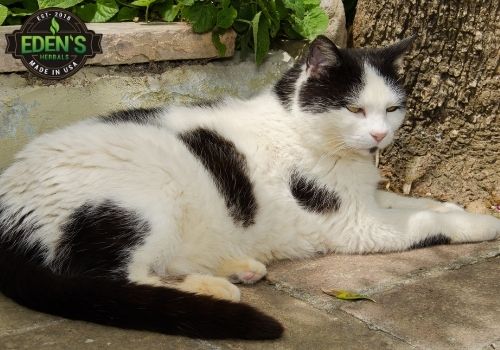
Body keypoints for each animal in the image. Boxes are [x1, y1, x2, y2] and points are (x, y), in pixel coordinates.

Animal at [0, 35, 500, 340]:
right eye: (354, 109)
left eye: (393, 109)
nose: (379, 136)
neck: (301, 128)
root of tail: (10, 208)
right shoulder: (355, 224)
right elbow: (423, 221)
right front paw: (482, 221)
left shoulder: (367, 197)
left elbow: (408, 200)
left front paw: (450, 203)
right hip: (144, 199)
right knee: (114, 279)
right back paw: (214, 290)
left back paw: (238, 267)